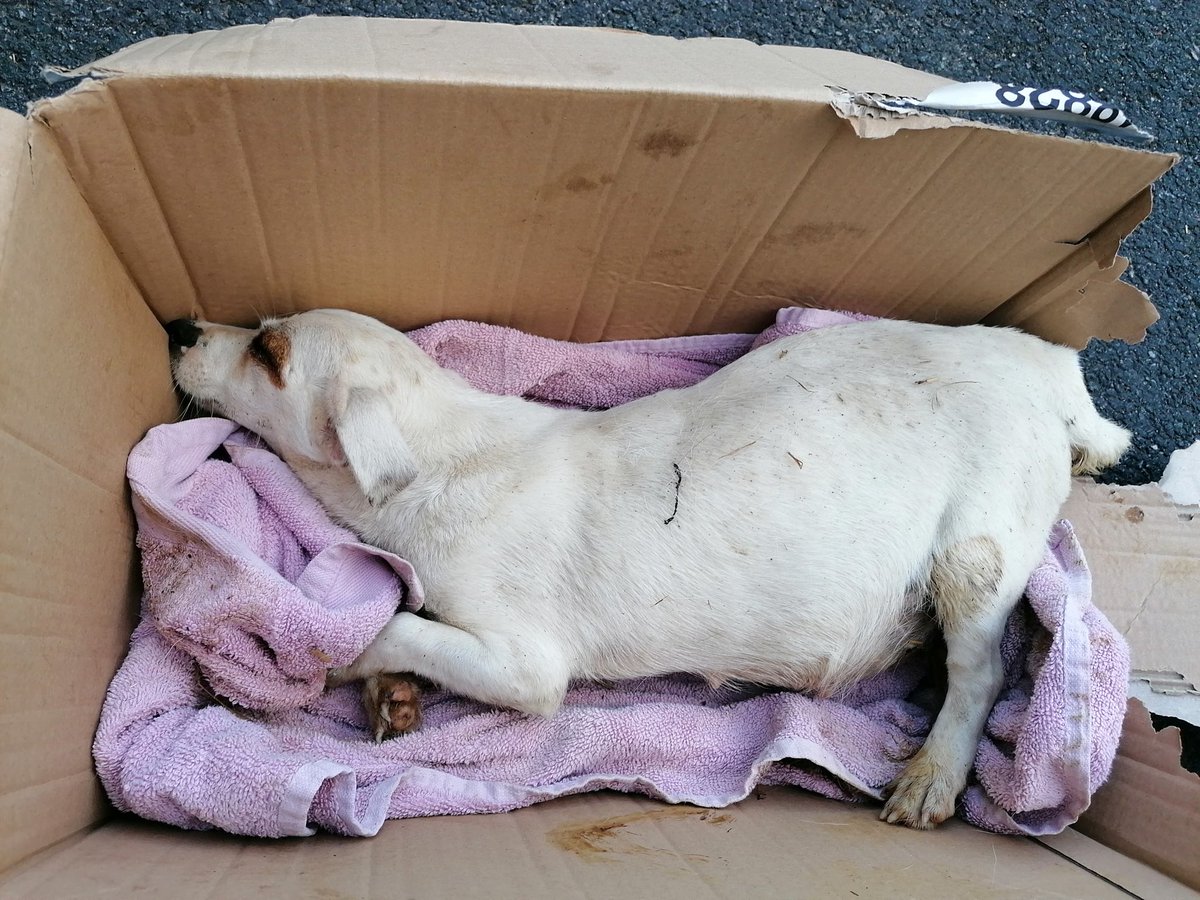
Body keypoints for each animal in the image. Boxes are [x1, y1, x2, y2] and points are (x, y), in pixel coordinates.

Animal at [166, 312, 1123, 830]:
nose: (178, 327)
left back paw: (932, 777)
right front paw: (391, 699)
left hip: (974, 554)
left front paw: (341, 661)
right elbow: (407, 609)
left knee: (981, 670)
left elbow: (398, 620)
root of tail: (1048, 367)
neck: (445, 456)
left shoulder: (526, 662)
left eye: (271, 353)